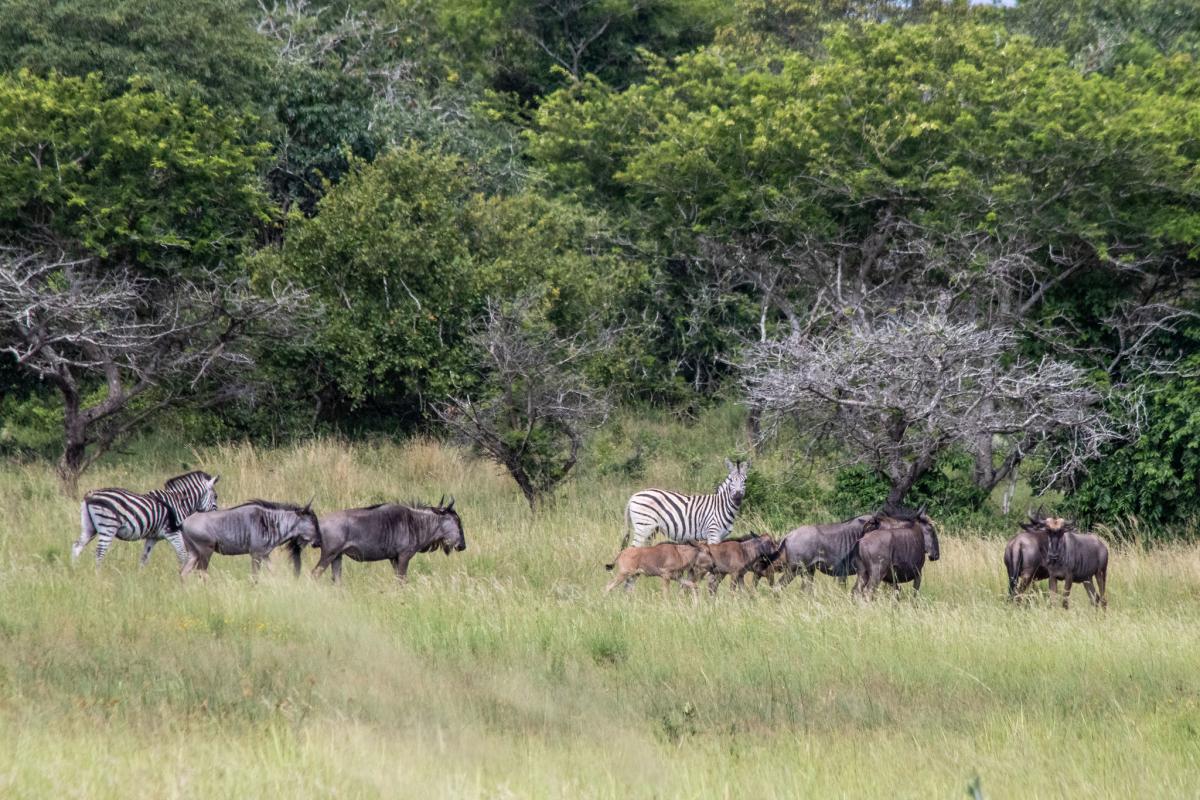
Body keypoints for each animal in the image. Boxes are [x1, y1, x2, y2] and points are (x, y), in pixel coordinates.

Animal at [72, 470, 219, 568]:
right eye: (215, 496)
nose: (216, 516)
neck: (179, 502)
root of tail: (90, 495)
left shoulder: (153, 537)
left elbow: (144, 558)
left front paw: (139, 578)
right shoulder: (172, 532)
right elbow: (183, 555)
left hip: (90, 527)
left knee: (77, 546)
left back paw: (75, 571)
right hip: (108, 526)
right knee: (99, 552)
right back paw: (98, 577)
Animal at [619, 455, 748, 551]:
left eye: (745, 481)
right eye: (731, 481)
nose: (737, 496)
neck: (722, 506)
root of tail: (634, 496)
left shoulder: (719, 537)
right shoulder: (713, 534)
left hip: (651, 530)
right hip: (643, 527)